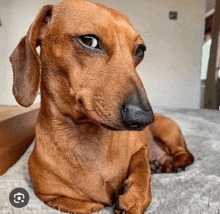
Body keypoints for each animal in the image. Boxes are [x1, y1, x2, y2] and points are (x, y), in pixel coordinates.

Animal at [9, 0, 193, 214]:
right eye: (89, 41)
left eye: (140, 50)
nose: (143, 119)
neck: (84, 134)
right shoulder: (52, 197)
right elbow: (91, 205)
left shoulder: (140, 148)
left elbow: (141, 166)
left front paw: (134, 196)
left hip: (167, 130)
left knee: (186, 153)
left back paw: (175, 163)